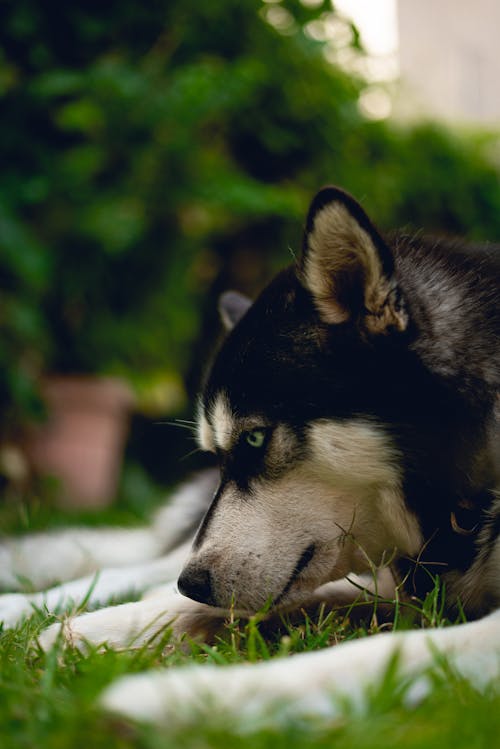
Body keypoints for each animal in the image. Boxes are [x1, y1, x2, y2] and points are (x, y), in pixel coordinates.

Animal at [0, 187, 500, 724]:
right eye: (217, 452)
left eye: (255, 440)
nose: (193, 583)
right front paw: (94, 630)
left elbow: (386, 649)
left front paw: (186, 695)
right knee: (127, 570)